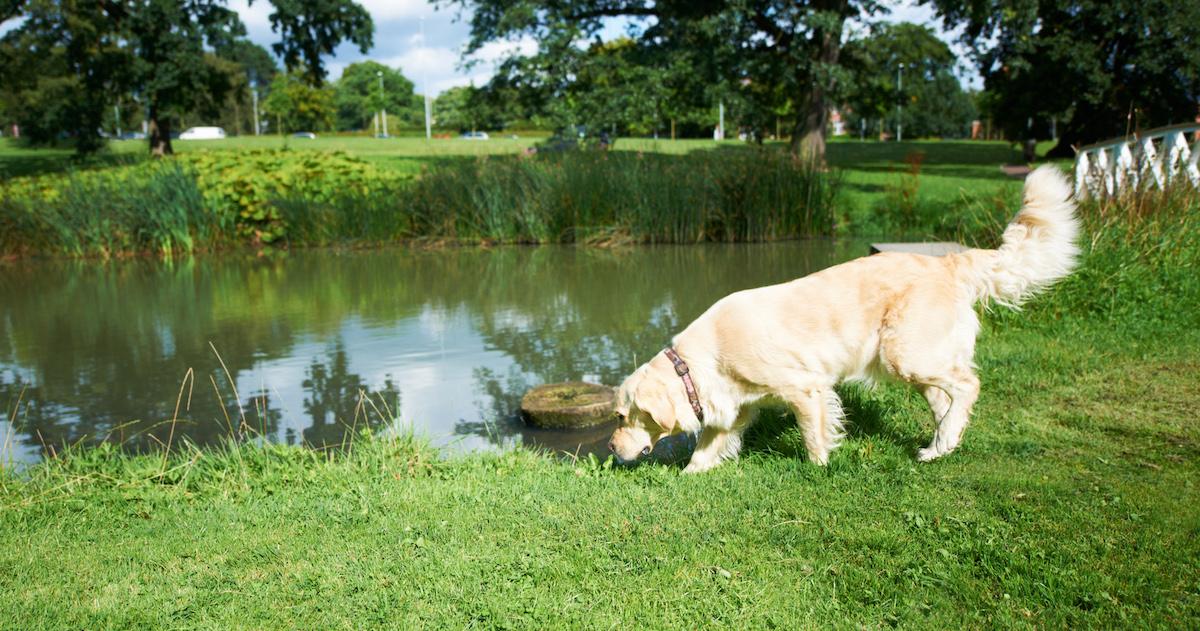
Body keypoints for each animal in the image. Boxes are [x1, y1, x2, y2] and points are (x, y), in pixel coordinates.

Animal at [609, 165, 1080, 472]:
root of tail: (948, 262)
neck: (700, 362)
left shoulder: (805, 388)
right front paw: (690, 476)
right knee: (947, 401)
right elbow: (706, 449)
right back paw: (940, 446)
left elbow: (813, 433)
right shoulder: (737, 407)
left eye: (618, 417)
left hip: (905, 354)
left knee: (969, 384)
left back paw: (943, 440)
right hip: (916, 362)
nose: (612, 450)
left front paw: (819, 468)